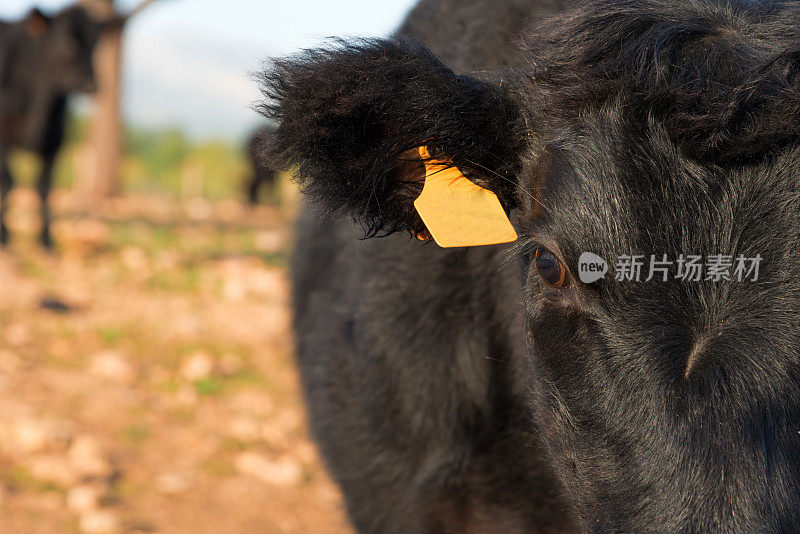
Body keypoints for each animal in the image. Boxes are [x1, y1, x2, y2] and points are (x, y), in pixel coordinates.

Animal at [0, 6, 103, 250]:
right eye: (67, 43)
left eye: (96, 44)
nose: (92, 84)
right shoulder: (4, 139)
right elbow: (7, 181)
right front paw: (4, 236)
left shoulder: (55, 141)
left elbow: (44, 187)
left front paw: (46, 241)